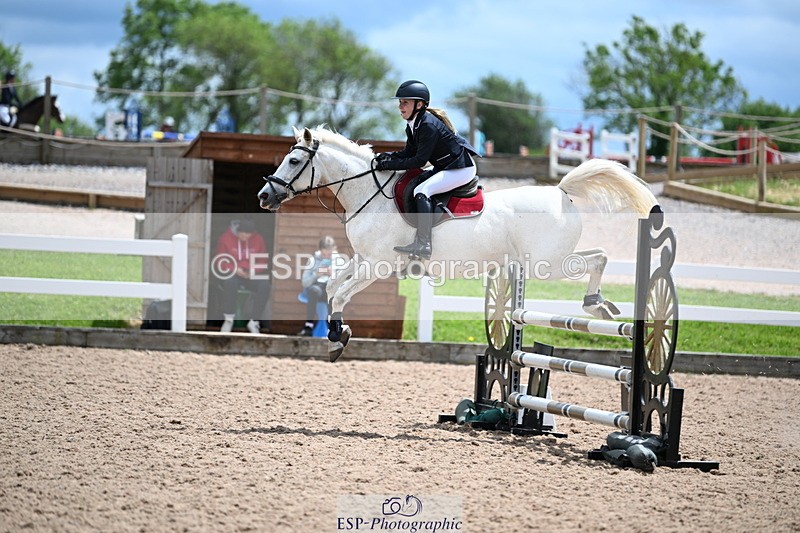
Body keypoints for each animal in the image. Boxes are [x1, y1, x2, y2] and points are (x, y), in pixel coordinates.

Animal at [258, 126, 658, 362]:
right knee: (597, 256)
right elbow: (331, 286)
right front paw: (336, 336)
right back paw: (600, 305)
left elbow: (341, 294)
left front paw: (338, 339)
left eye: (294, 159)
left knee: (598, 258)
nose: (264, 196)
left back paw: (596, 305)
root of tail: (560, 191)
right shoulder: (364, 259)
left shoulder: (378, 264)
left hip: (549, 264)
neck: (370, 194)